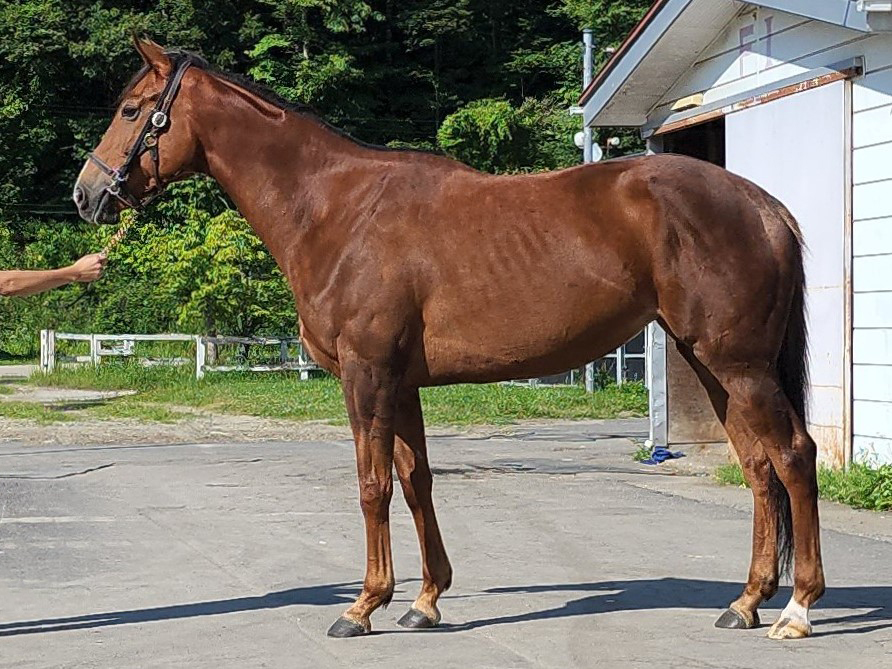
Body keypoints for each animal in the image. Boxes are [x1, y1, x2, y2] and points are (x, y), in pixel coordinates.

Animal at [74, 38, 824, 641]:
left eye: (134, 109)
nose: (86, 195)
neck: (336, 209)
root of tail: (765, 206)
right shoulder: (400, 383)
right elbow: (415, 481)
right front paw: (424, 600)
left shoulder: (367, 376)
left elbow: (371, 484)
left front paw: (362, 606)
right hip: (713, 365)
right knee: (759, 469)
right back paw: (746, 601)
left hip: (740, 364)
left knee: (793, 455)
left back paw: (796, 609)